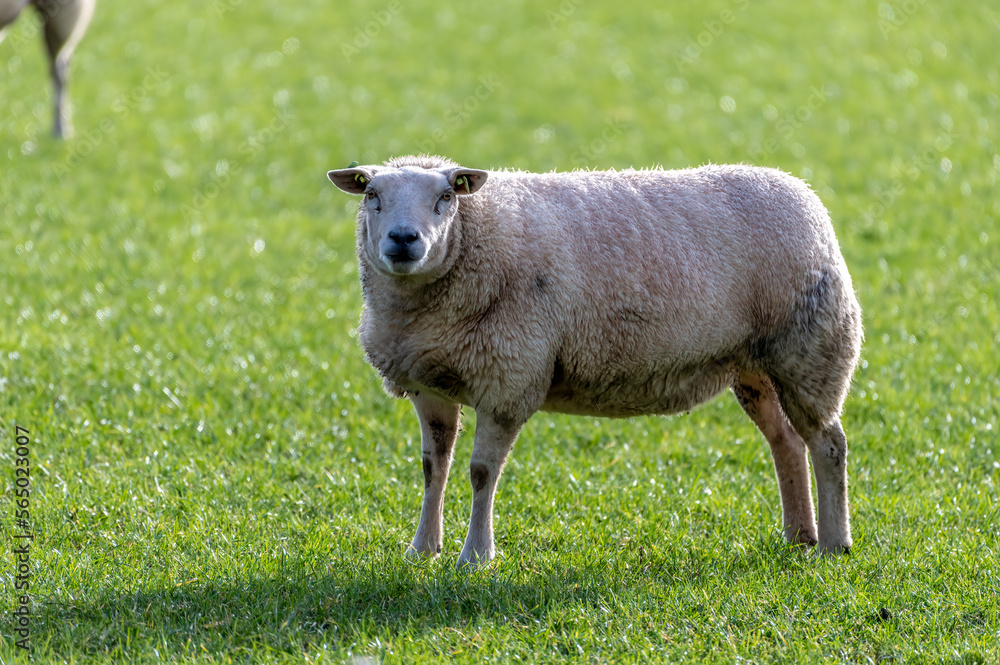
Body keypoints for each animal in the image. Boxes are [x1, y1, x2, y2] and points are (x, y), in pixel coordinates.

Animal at [327, 154, 863, 569]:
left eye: (446, 197)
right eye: (371, 193)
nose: (403, 239)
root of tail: (800, 189)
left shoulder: (509, 378)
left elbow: (480, 473)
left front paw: (475, 556)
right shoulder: (429, 385)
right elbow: (431, 467)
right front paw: (422, 548)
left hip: (811, 349)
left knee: (829, 445)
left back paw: (834, 545)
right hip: (755, 365)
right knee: (787, 442)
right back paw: (800, 535)